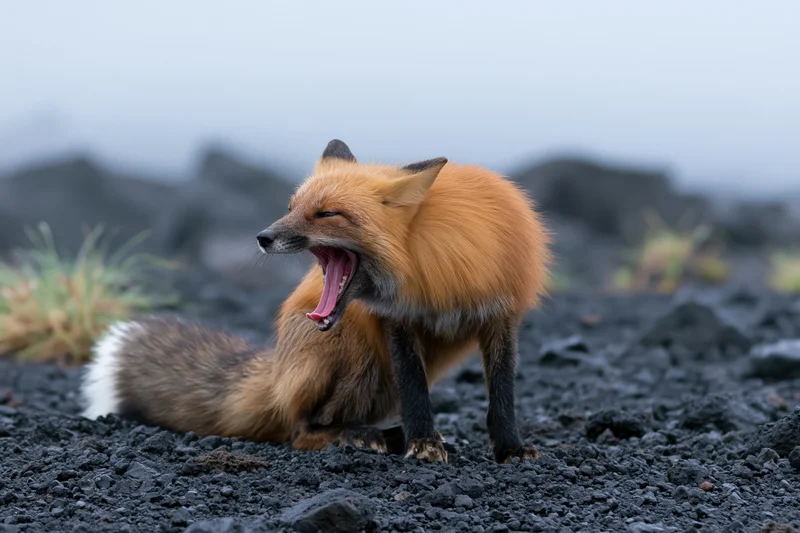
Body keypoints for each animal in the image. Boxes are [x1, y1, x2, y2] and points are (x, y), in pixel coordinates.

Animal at [80, 139, 552, 464]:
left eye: (327, 214)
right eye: (292, 206)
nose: (262, 237)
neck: (433, 266)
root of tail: (276, 372)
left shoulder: (501, 315)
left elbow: (503, 393)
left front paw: (509, 448)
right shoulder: (396, 321)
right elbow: (416, 390)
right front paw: (422, 442)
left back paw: (384, 434)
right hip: (349, 350)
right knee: (301, 430)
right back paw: (362, 436)